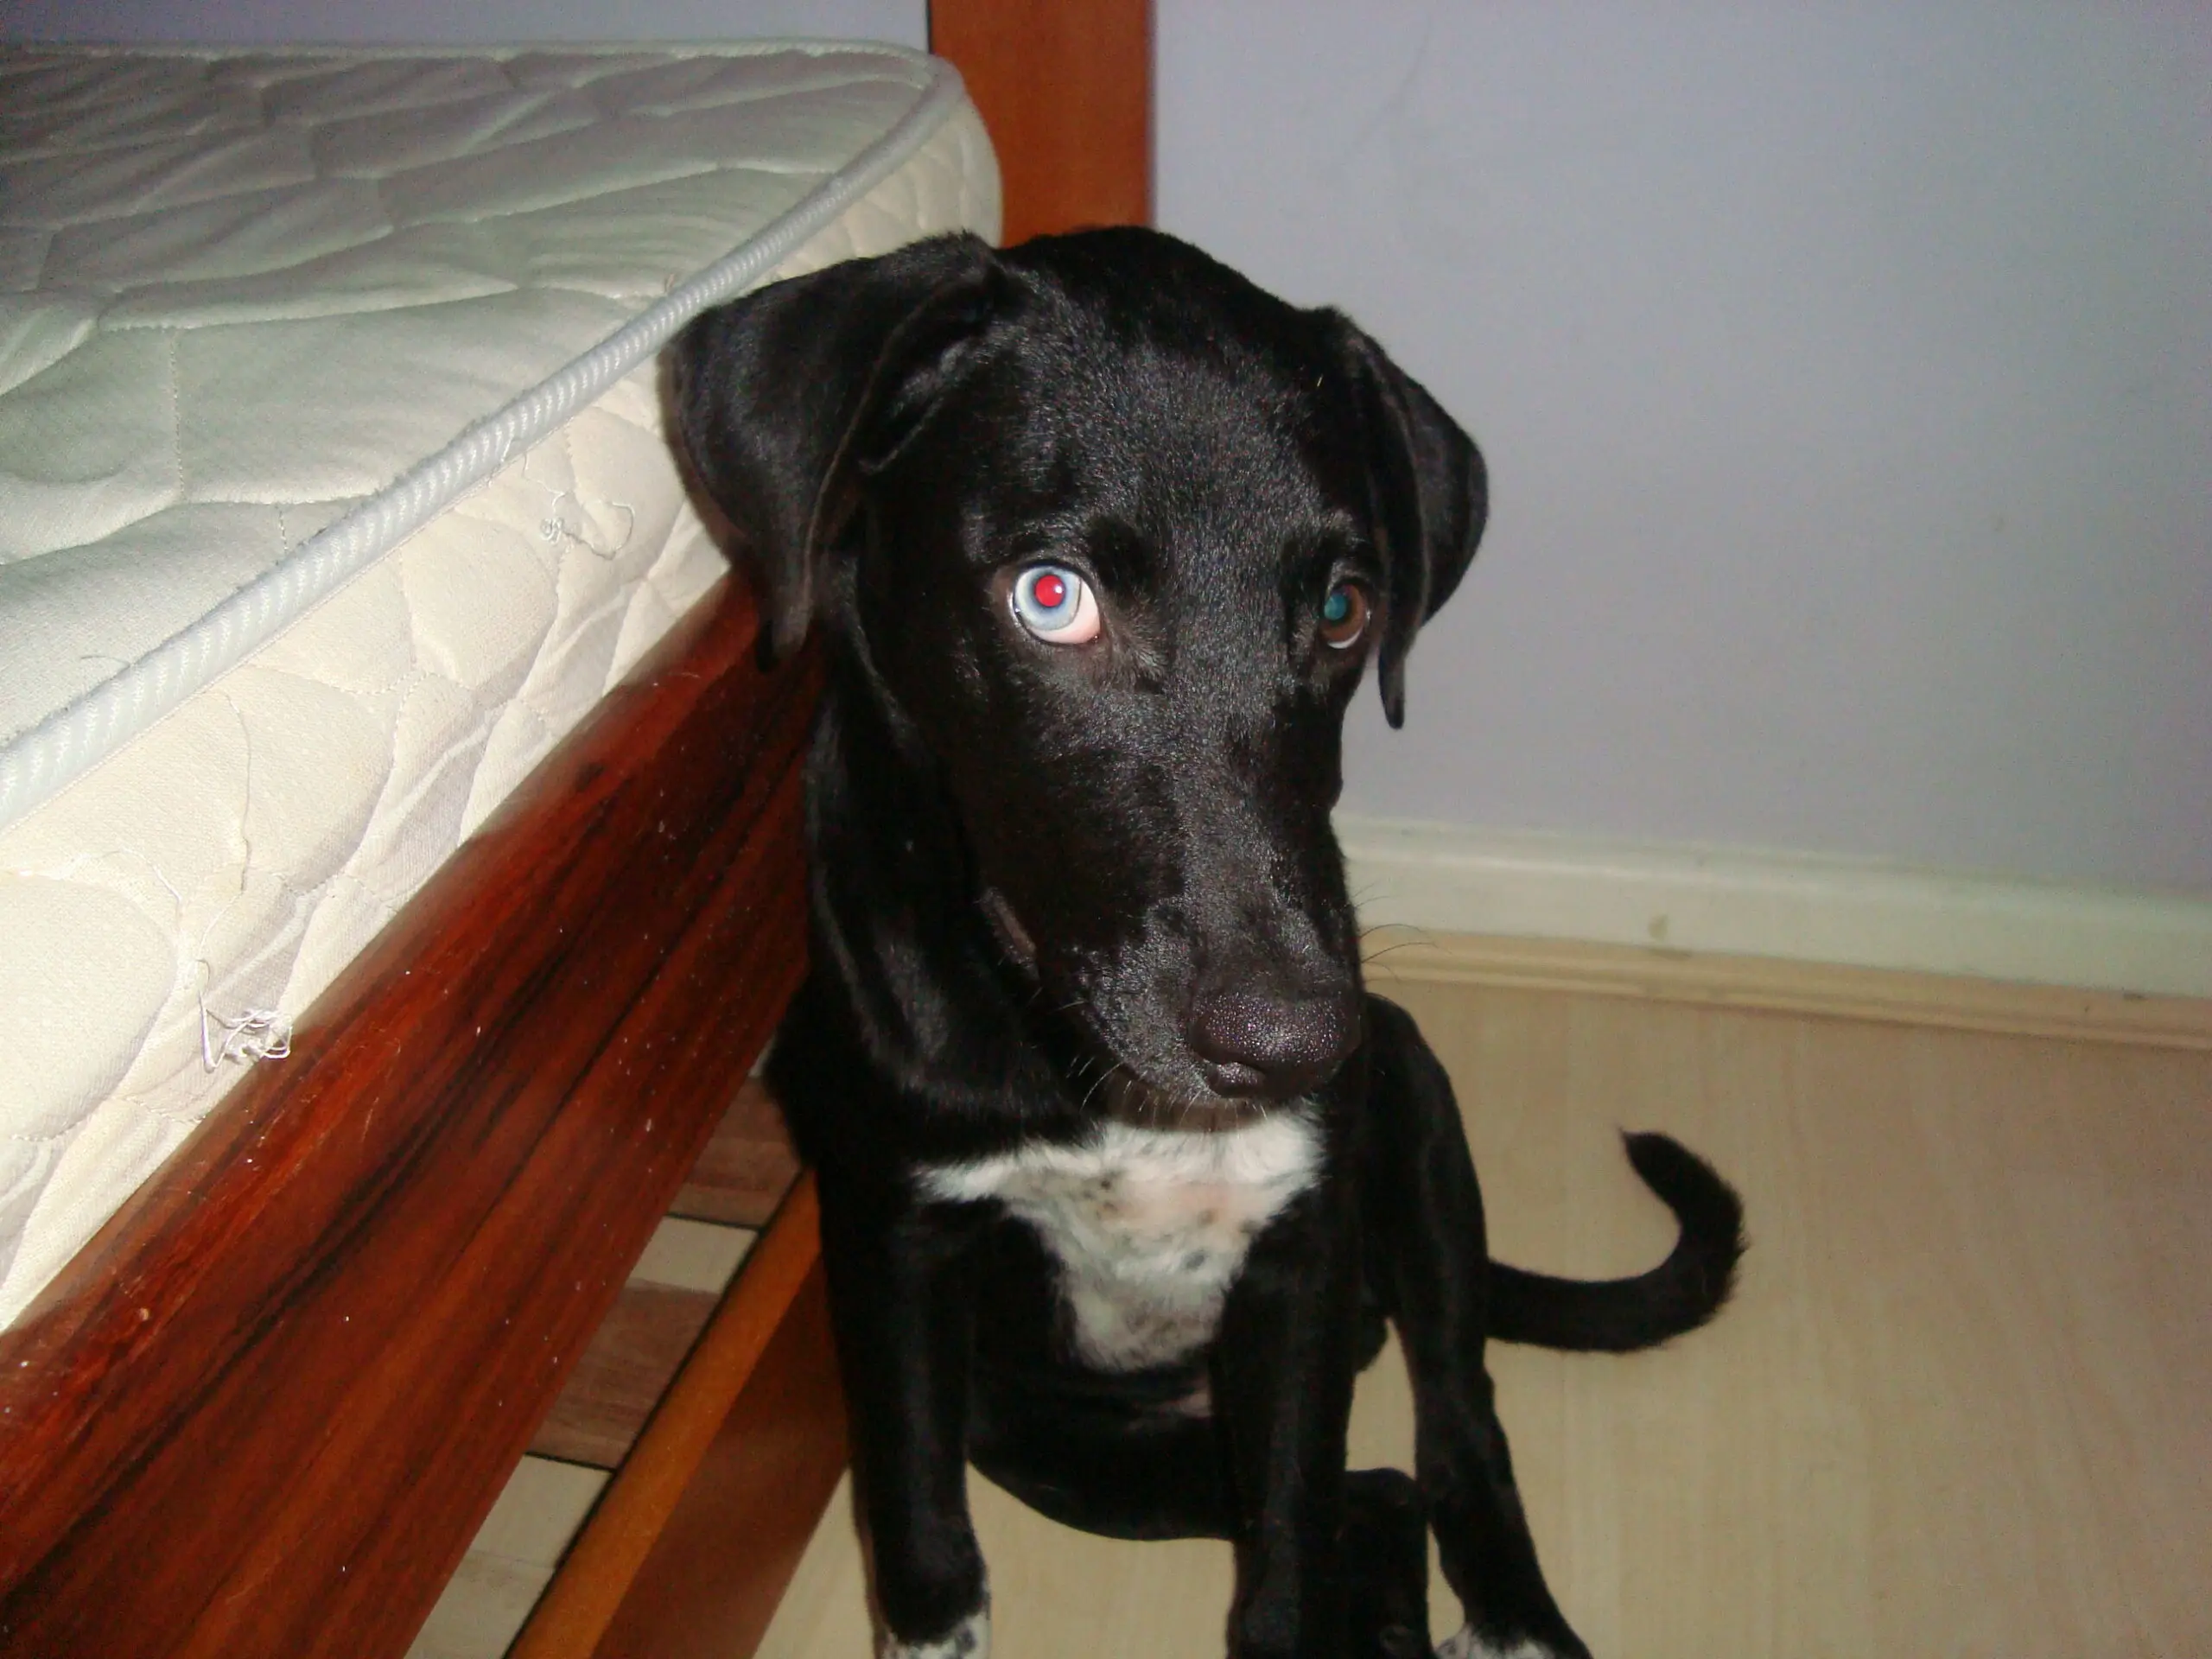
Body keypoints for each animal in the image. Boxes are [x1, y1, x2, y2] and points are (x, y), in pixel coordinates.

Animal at [673, 228, 1744, 1659]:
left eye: (1344, 609)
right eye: (1051, 597)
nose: (1292, 1043)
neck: (1078, 1063)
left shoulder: (1299, 1258)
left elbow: (1284, 1566)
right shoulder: (897, 1245)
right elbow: (924, 1544)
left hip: (1417, 1130)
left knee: (1455, 1433)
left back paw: (1515, 1618)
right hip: (1067, 1444)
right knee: (1380, 1500)